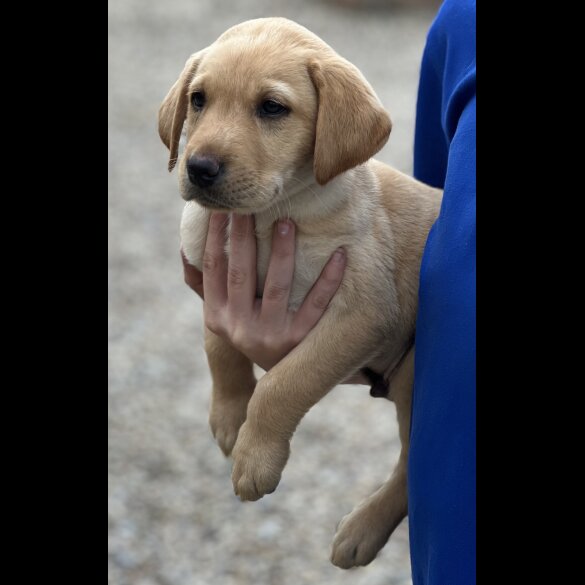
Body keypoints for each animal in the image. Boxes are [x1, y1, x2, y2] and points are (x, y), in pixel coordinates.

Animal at [157, 17, 440, 564]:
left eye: (272, 108)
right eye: (199, 100)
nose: (198, 168)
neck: (267, 220)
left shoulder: (362, 314)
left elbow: (284, 384)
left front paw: (255, 458)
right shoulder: (211, 280)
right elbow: (218, 346)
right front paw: (230, 416)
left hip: (418, 375)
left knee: (412, 467)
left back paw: (361, 531)